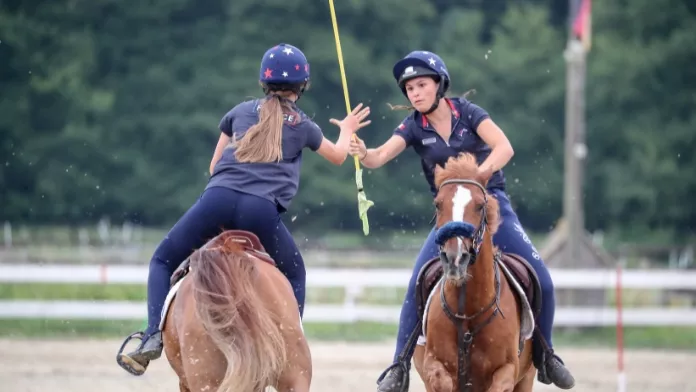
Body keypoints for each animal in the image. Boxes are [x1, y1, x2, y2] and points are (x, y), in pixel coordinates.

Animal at [410, 154, 540, 392]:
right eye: (438, 204)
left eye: (480, 206)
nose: (455, 258)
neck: (468, 311)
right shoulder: (433, 365)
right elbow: (441, 380)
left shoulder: (507, 371)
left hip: (526, 378)